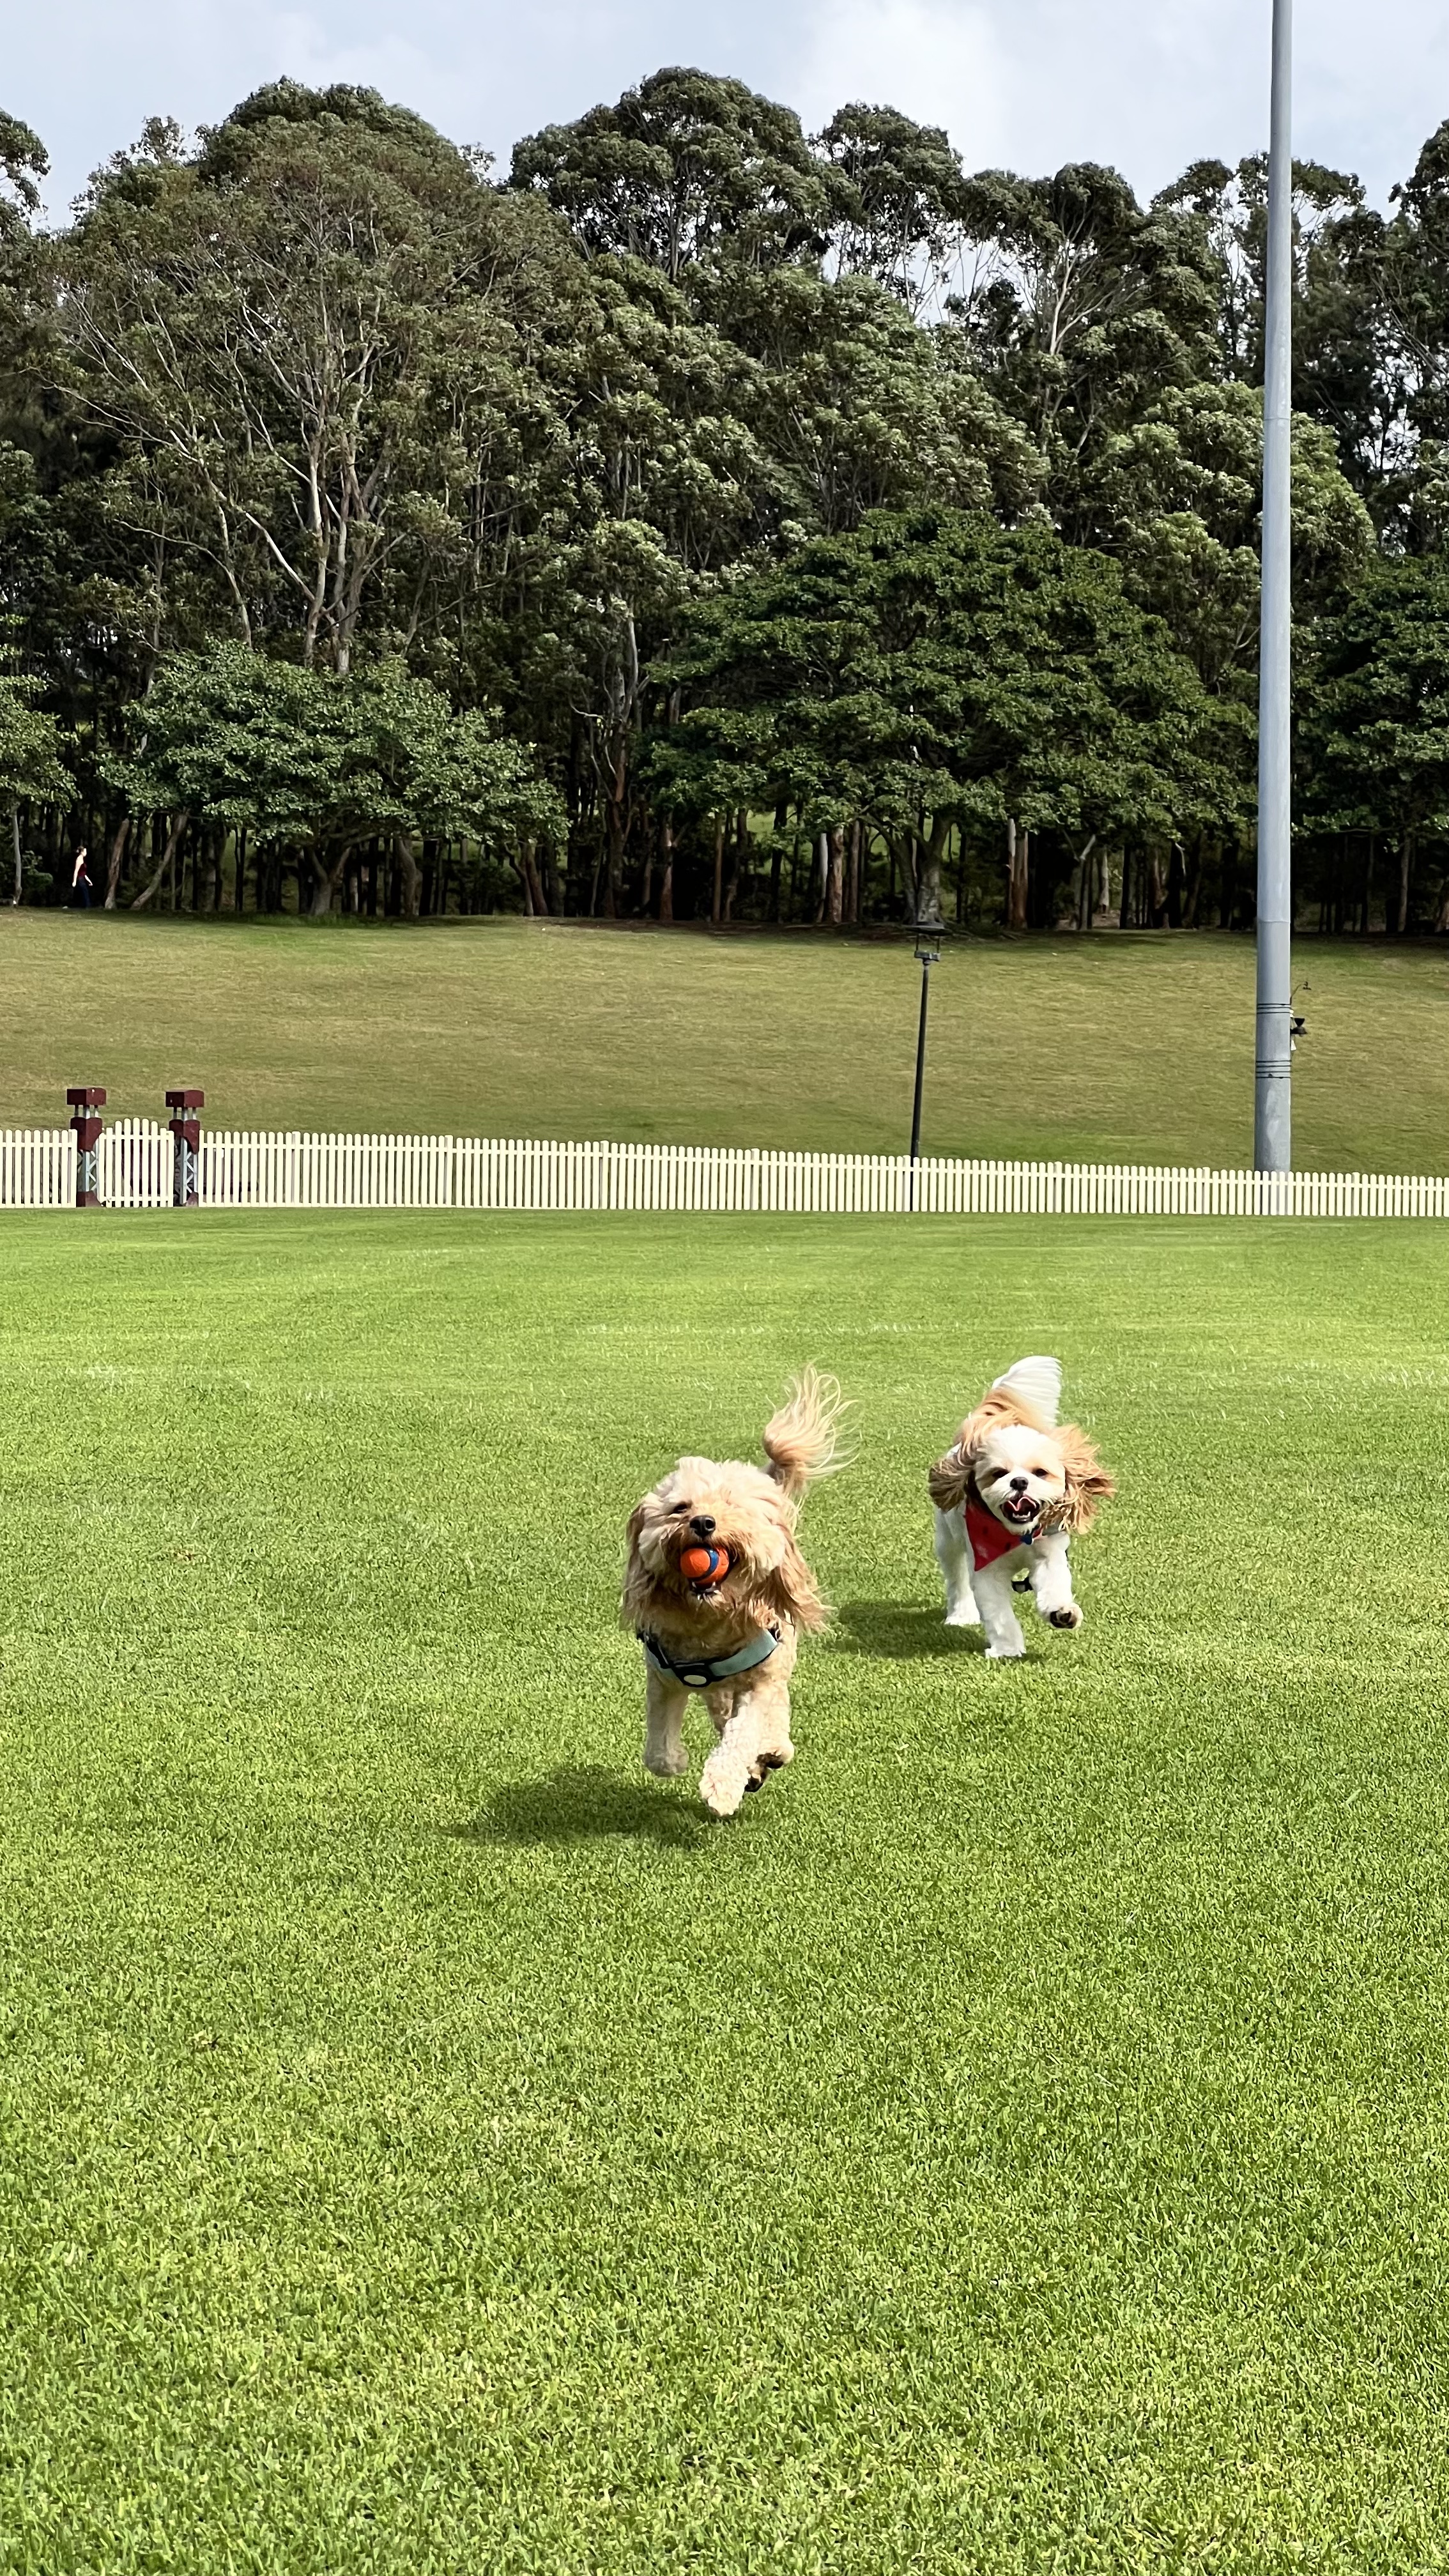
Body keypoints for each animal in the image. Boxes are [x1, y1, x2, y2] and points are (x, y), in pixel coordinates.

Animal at [622, 1370, 848, 1817]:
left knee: (770, 1722)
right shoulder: (662, 1677)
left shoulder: (761, 1682)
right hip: (720, 1691)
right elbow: (658, 1752)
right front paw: (676, 1760)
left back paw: (772, 1752)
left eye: (733, 1507)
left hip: (776, 1667)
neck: (709, 1622)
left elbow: (742, 1733)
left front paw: (722, 1787)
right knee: (723, 1713)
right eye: (680, 1507)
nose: (704, 1522)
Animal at [928, 1356, 1113, 1659]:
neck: (1014, 1536)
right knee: (956, 1577)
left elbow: (1054, 1587)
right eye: (998, 1473)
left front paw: (1062, 1613)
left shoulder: (1050, 1554)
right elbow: (998, 1614)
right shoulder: (986, 1571)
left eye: (1040, 1473)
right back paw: (960, 1614)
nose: (1019, 1481)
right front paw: (1007, 1649)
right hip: (947, 1539)